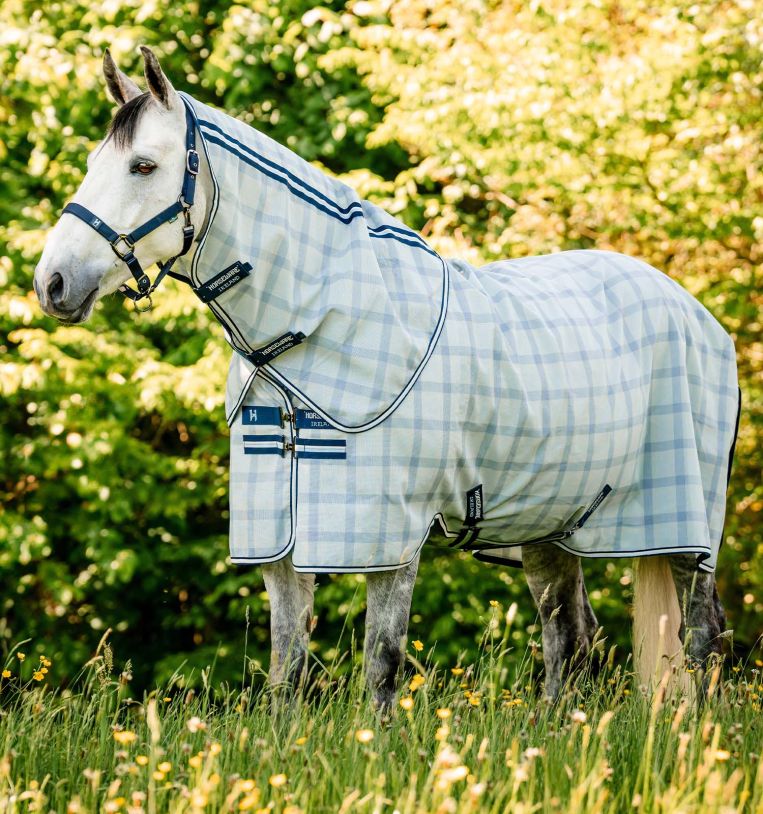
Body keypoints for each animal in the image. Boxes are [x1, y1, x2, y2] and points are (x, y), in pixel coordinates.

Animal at [33, 47, 739, 705]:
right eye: (95, 164)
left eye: (143, 166)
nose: (53, 283)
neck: (313, 333)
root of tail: (699, 316)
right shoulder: (278, 543)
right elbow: (286, 669)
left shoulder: (389, 536)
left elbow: (381, 664)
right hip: (553, 525)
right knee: (569, 636)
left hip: (685, 532)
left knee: (700, 637)